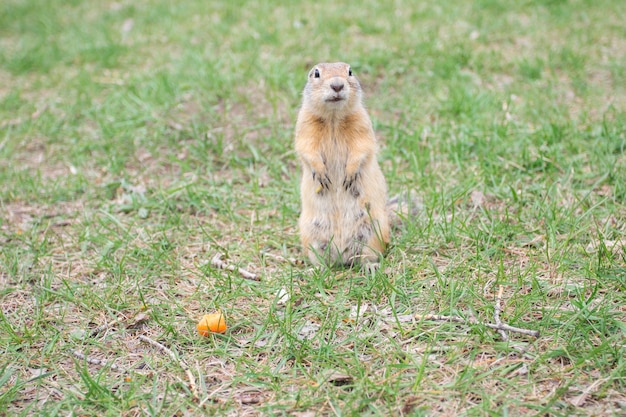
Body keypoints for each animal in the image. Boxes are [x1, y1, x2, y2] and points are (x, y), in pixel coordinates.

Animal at [294, 61, 388, 270]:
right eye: (316, 73)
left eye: (350, 71)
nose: (337, 85)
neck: (333, 118)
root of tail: (342, 256)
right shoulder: (305, 125)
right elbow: (306, 148)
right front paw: (321, 173)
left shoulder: (362, 123)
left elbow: (362, 147)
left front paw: (350, 174)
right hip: (310, 233)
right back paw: (317, 268)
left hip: (374, 230)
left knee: (366, 255)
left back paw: (370, 266)